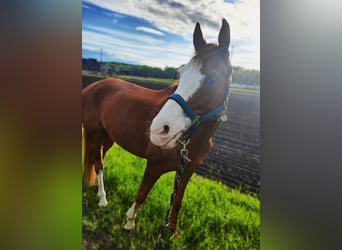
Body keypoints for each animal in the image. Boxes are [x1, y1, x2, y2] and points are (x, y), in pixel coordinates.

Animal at [83, 19, 232, 234]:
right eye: (180, 74)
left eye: (212, 79)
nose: (159, 130)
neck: (195, 139)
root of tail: (91, 87)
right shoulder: (154, 166)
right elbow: (141, 195)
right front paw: (129, 222)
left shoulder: (188, 170)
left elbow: (177, 202)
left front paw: (172, 231)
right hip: (95, 135)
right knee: (98, 164)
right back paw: (103, 199)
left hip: (108, 137)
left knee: (98, 160)